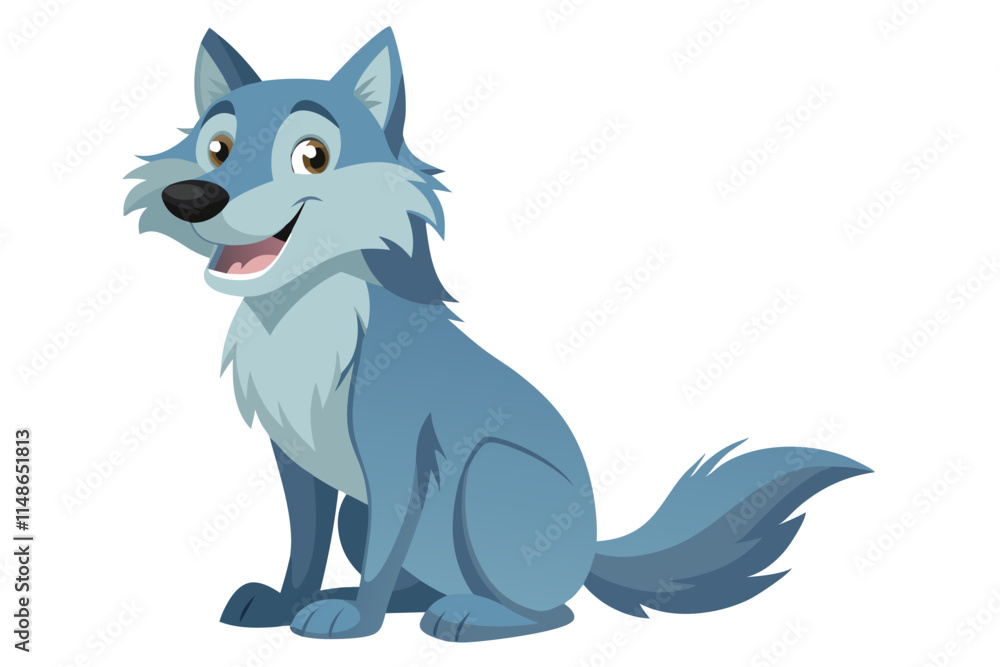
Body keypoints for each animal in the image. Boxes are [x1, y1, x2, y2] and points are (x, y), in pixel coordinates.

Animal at [123, 28, 871, 641]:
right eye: (215, 148)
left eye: (312, 155)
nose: (193, 198)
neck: (302, 314)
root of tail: (593, 550)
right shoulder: (296, 461)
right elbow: (303, 545)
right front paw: (290, 601)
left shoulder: (395, 456)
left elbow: (382, 553)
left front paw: (352, 622)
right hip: (366, 515)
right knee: (418, 579)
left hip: (487, 473)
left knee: (553, 611)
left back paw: (465, 615)